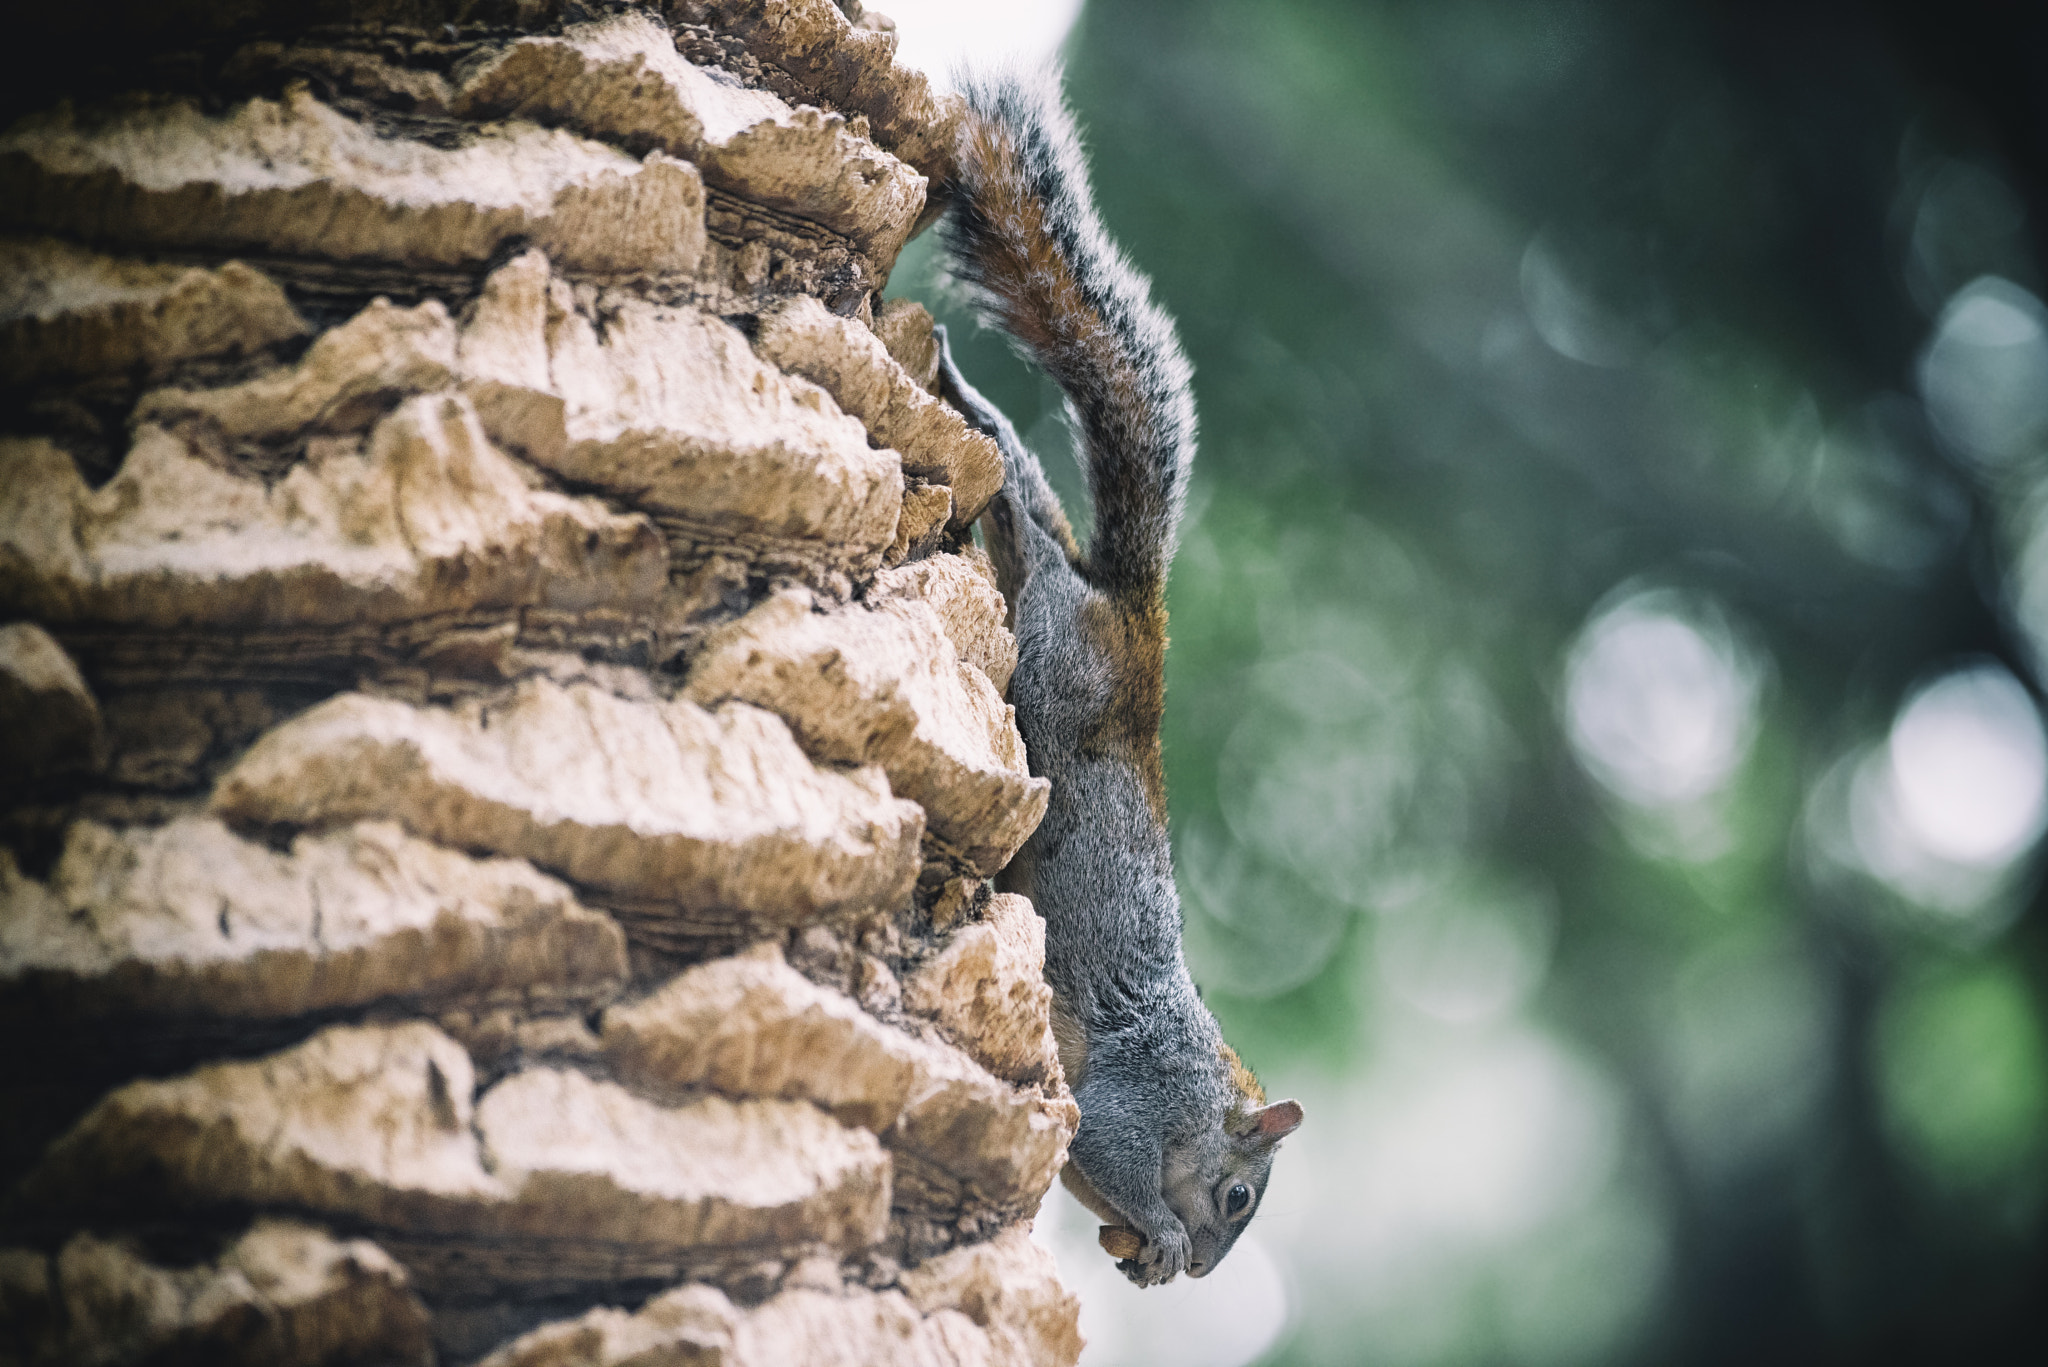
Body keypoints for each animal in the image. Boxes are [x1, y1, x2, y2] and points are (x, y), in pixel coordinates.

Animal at [930, 68, 1304, 1287]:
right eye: (1240, 1195)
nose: (1208, 1271)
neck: (1203, 1087)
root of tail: (1134, 612)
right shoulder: (1134, 1098)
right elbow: (1098, 1139)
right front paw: (1167, 1233)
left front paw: (1139, 1254)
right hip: (1053, 661)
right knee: (1025, 518)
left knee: (1037, 509)